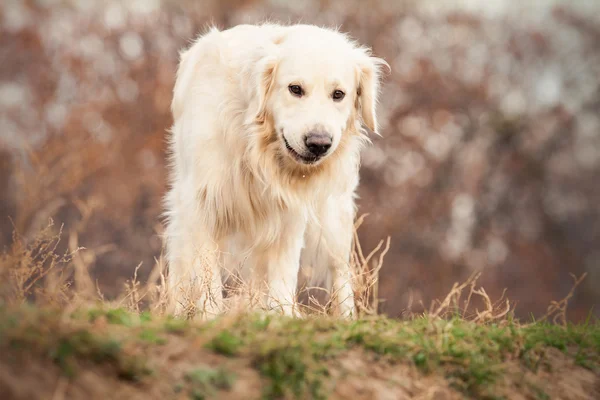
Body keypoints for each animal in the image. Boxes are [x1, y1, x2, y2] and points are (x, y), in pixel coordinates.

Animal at [164, 23, 386, 320]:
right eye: (295, 89)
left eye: (338, 94)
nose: (319, 143)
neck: (255, 146)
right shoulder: (201, 200)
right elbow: (205, 271)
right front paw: (208, 315)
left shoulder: (290, 210)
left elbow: (284, 271)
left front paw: (284, 314)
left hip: (334, 218)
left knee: (339, 270)